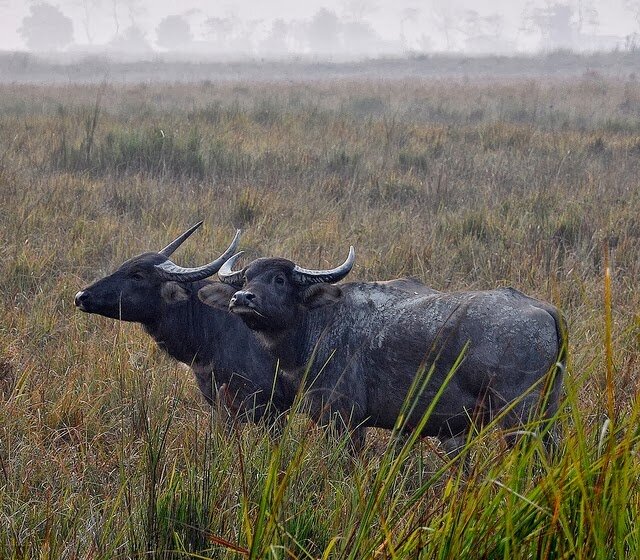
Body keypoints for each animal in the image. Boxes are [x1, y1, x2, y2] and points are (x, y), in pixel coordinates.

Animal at [198, 248, 568, 450]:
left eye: (279, 279)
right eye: (247, 278)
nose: (242, 298)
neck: (320, 324)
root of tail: (543, 309)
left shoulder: (344, 420)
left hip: (520, 418)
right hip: (546, 418)